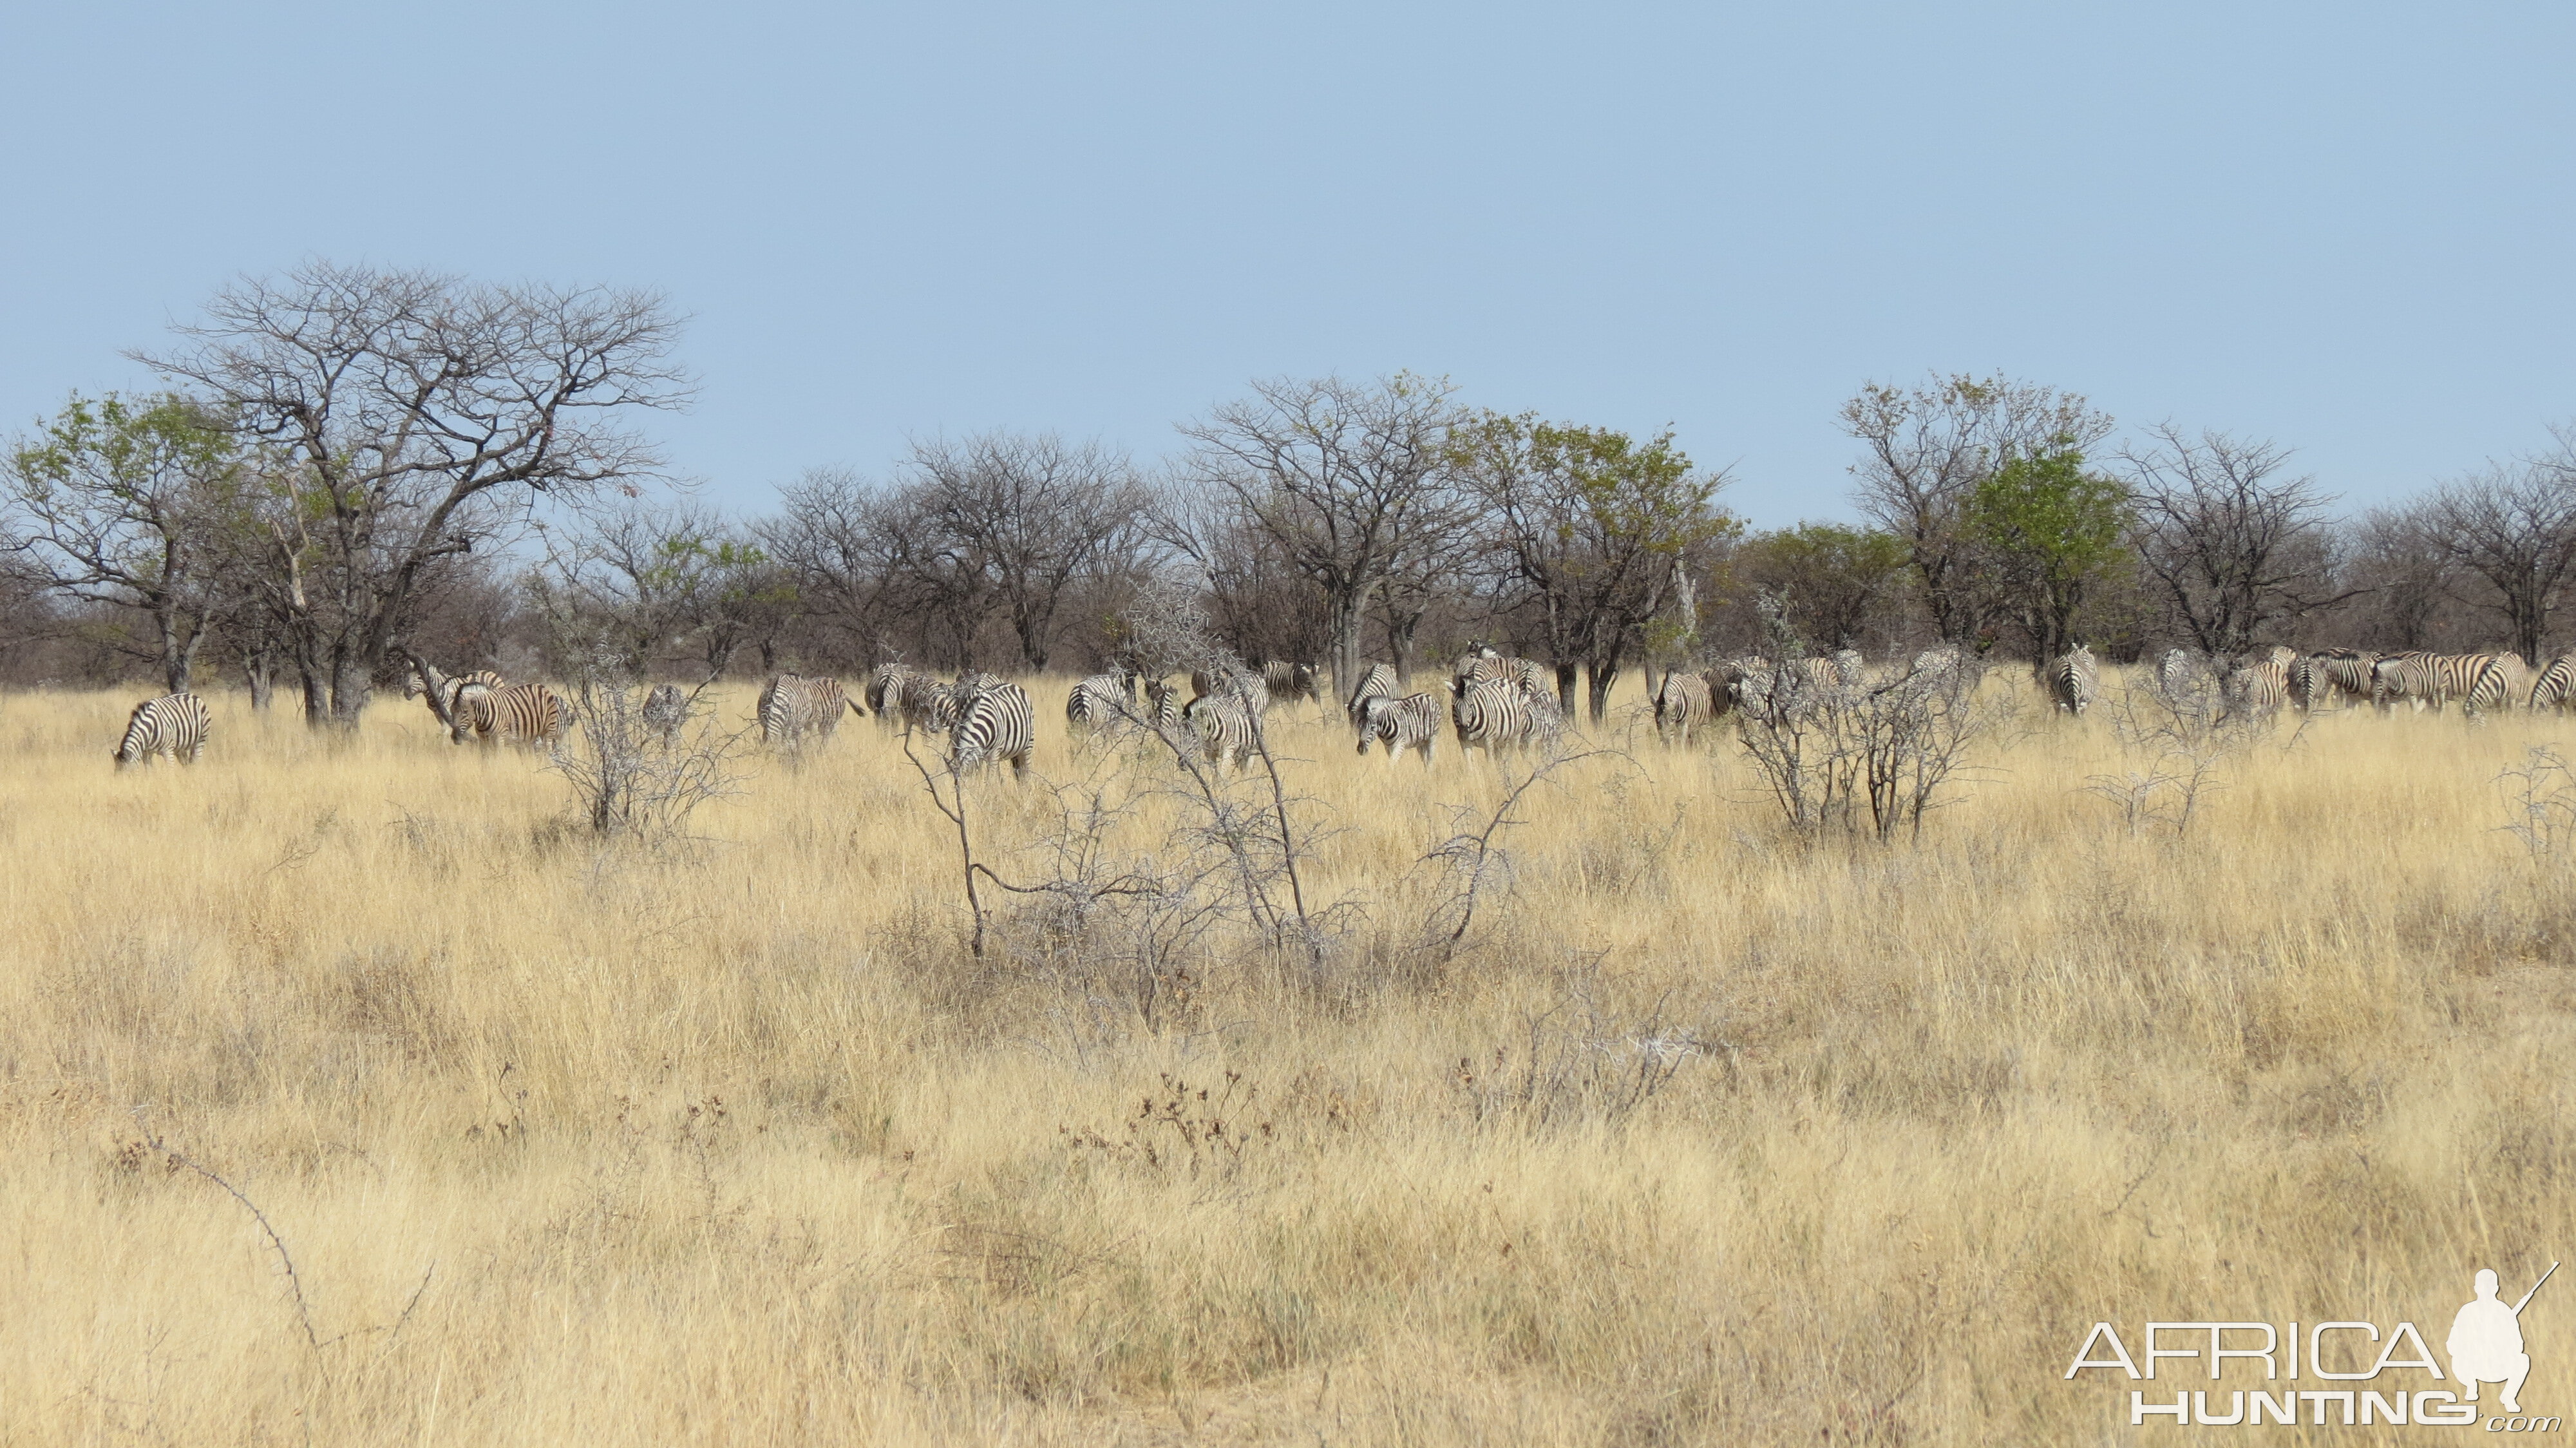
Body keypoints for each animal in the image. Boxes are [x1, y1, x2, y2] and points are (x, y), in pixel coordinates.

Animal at [113, 691, 211, 768]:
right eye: (116, 771)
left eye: (128, 772)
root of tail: (193, 696)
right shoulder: (146, 753)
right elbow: (149, 772)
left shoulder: (168, 751)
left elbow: (170, 772)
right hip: (180, 748)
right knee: (187, 764)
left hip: (200, 740)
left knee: (196, 762)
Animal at [1350, 691, 1453, 768]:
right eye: (1359, 727)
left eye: (1372, 728)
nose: (1361, 749)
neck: (1384, 731)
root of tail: (1428, 696)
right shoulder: (1388, 747)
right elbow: (1393, 763)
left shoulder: (1399, 744)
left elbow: (1391, 764)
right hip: (1421, 741)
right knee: (1425, 759)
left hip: (1433, 737)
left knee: (1430, 760)